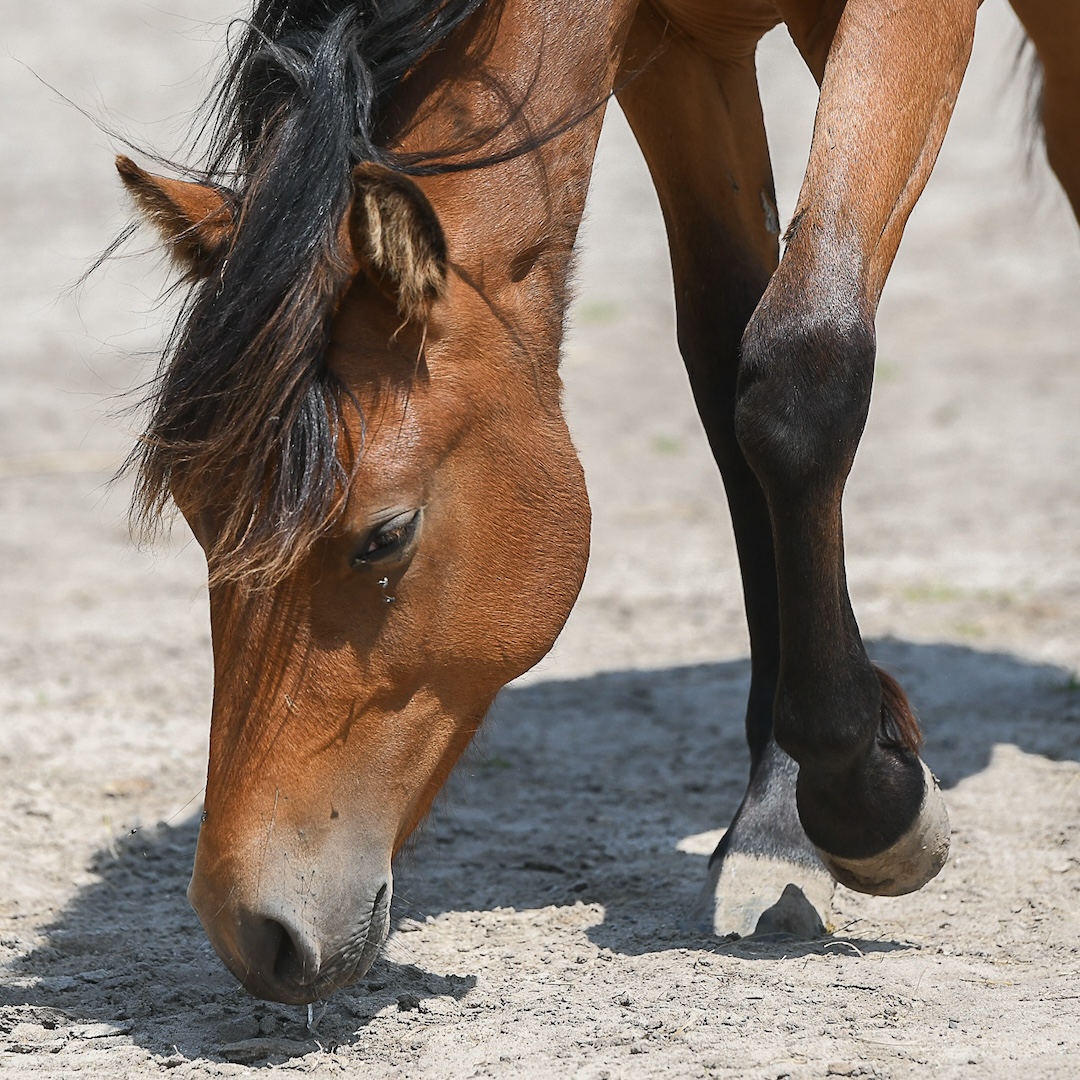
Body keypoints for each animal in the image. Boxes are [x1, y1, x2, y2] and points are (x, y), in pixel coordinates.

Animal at [116, 0, 1080, 1004]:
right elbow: (731, 365)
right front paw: (778, 819)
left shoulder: (903, 22)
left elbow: (800, 367)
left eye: (385, 537)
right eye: (194, 514)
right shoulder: (679, 53)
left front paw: (862, 803)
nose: (250, 930)